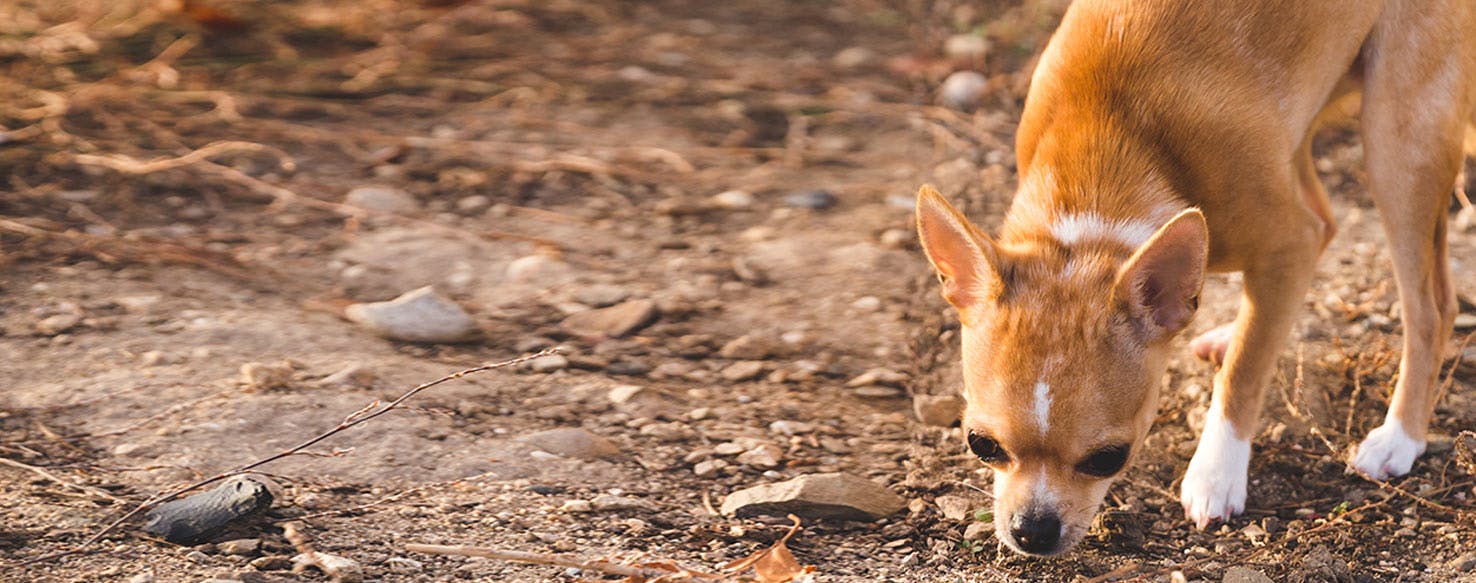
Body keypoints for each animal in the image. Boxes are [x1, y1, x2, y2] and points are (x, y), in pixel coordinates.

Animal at [915, 0, 1470, 557]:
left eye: (1109, 457)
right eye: (980, 444)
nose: (1032, 529)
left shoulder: (1287, 243)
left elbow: (1245, 371)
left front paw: (1217, 474)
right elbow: (1260, 333)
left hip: (1399, 140)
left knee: (1430, 307)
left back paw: (1399, 436)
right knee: (1324, 226)